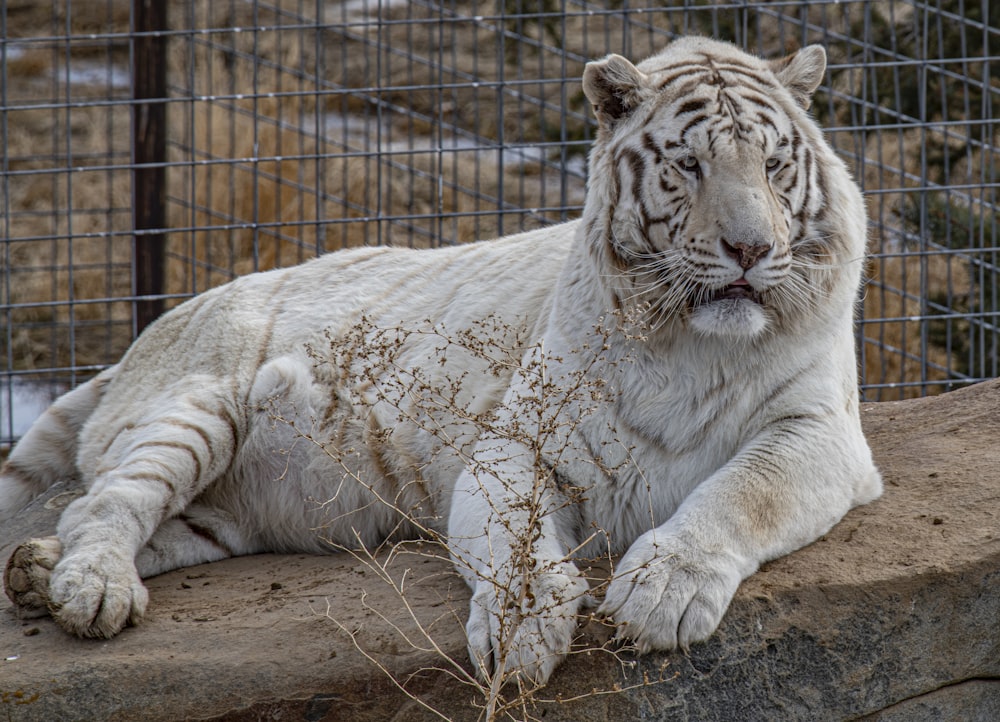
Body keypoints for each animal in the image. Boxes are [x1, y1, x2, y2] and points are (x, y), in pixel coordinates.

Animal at [0, 38, 880, 688]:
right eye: (689, 165)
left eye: (773, 165)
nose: (750, 249)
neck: (690, 341)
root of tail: (147, 335)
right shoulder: (514, 446)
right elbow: (517, 544)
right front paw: (523, 632)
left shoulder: (820, 430)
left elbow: (742, 493)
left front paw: (662, 593)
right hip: (200, 405)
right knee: (105, 504)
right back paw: (91, 589)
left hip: (225, 514)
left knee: (113, 518)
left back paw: (36, 573)